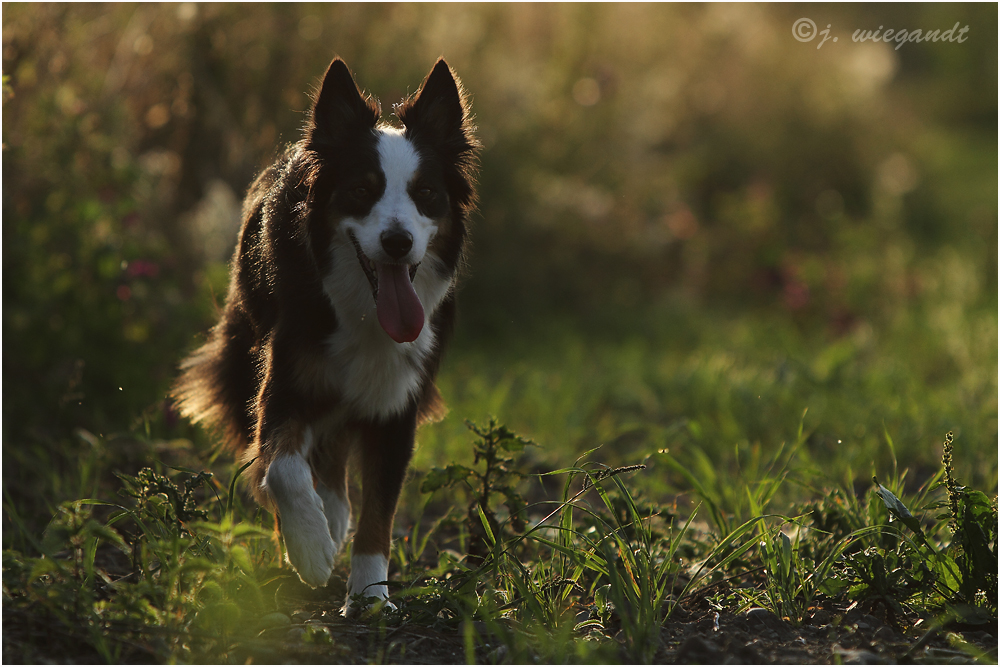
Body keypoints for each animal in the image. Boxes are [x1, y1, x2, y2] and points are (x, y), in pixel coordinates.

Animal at [173, 58, 480, 616]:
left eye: (425, 193)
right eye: (362, 190)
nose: (397, 242)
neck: (363, 311)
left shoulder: (396, 404)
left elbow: (379, 511)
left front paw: (371, 595)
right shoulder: (285, 382)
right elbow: (281, 470)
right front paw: (310, 549)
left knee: (334, 454)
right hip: (246, 351)